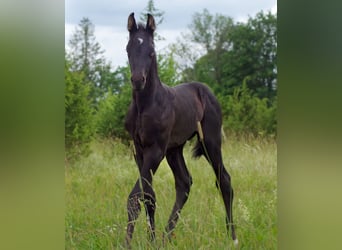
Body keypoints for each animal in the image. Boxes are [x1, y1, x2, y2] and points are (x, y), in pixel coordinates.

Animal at [123, 12, 238, 247]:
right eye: (128, 49)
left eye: (151, 50)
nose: (138, 80)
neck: (146, 105)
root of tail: (206, 90)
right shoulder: (139, 150)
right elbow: (148, 196)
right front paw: (151, 241)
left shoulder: (155, 150)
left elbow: (136, 196)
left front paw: (127, 243)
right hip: (174, 149)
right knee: (184, 183)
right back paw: (166, 237)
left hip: (210, 142)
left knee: (224, 180)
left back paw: (232, 237)